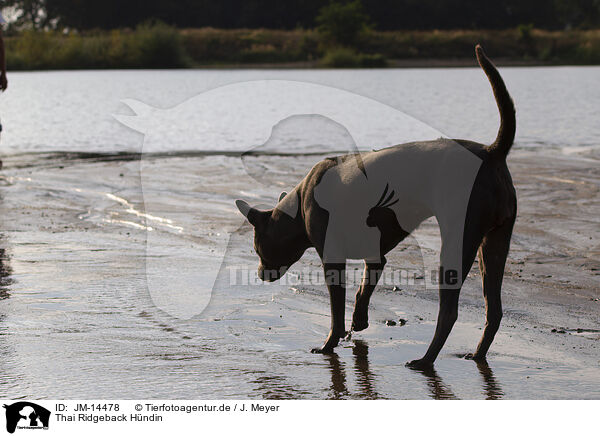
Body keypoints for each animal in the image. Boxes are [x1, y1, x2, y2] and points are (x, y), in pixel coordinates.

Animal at [237, 45, 516, 368]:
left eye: (257, 249)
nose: (260, 274)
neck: (298, 207)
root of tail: (492, 152)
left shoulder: (332, 257)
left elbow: (336, 310)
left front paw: (329, 343)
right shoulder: (376, 254)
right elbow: (363, 288)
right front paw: (359, 322)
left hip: (460, 237)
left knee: (449, 311)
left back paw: (425, 360)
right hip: (495, 240)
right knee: (494, 309)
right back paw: (477, 354)